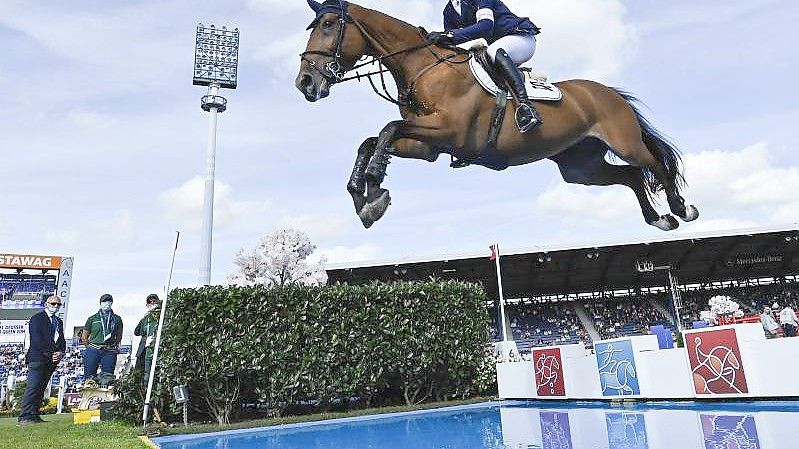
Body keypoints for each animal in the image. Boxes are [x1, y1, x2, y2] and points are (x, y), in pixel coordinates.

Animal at [296, 0, 700, 229]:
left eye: (328, 25)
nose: (305, 82)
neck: (423, 67)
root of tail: (609, 93)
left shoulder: (451, 131)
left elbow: (387, 128)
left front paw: (374, 184)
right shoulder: (429, 145)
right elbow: (372, 139)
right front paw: (365, 197)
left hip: (624, 142)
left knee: (654, 164)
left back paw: (681, 208)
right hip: (579, 167)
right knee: (630, 176)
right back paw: (658, 219)